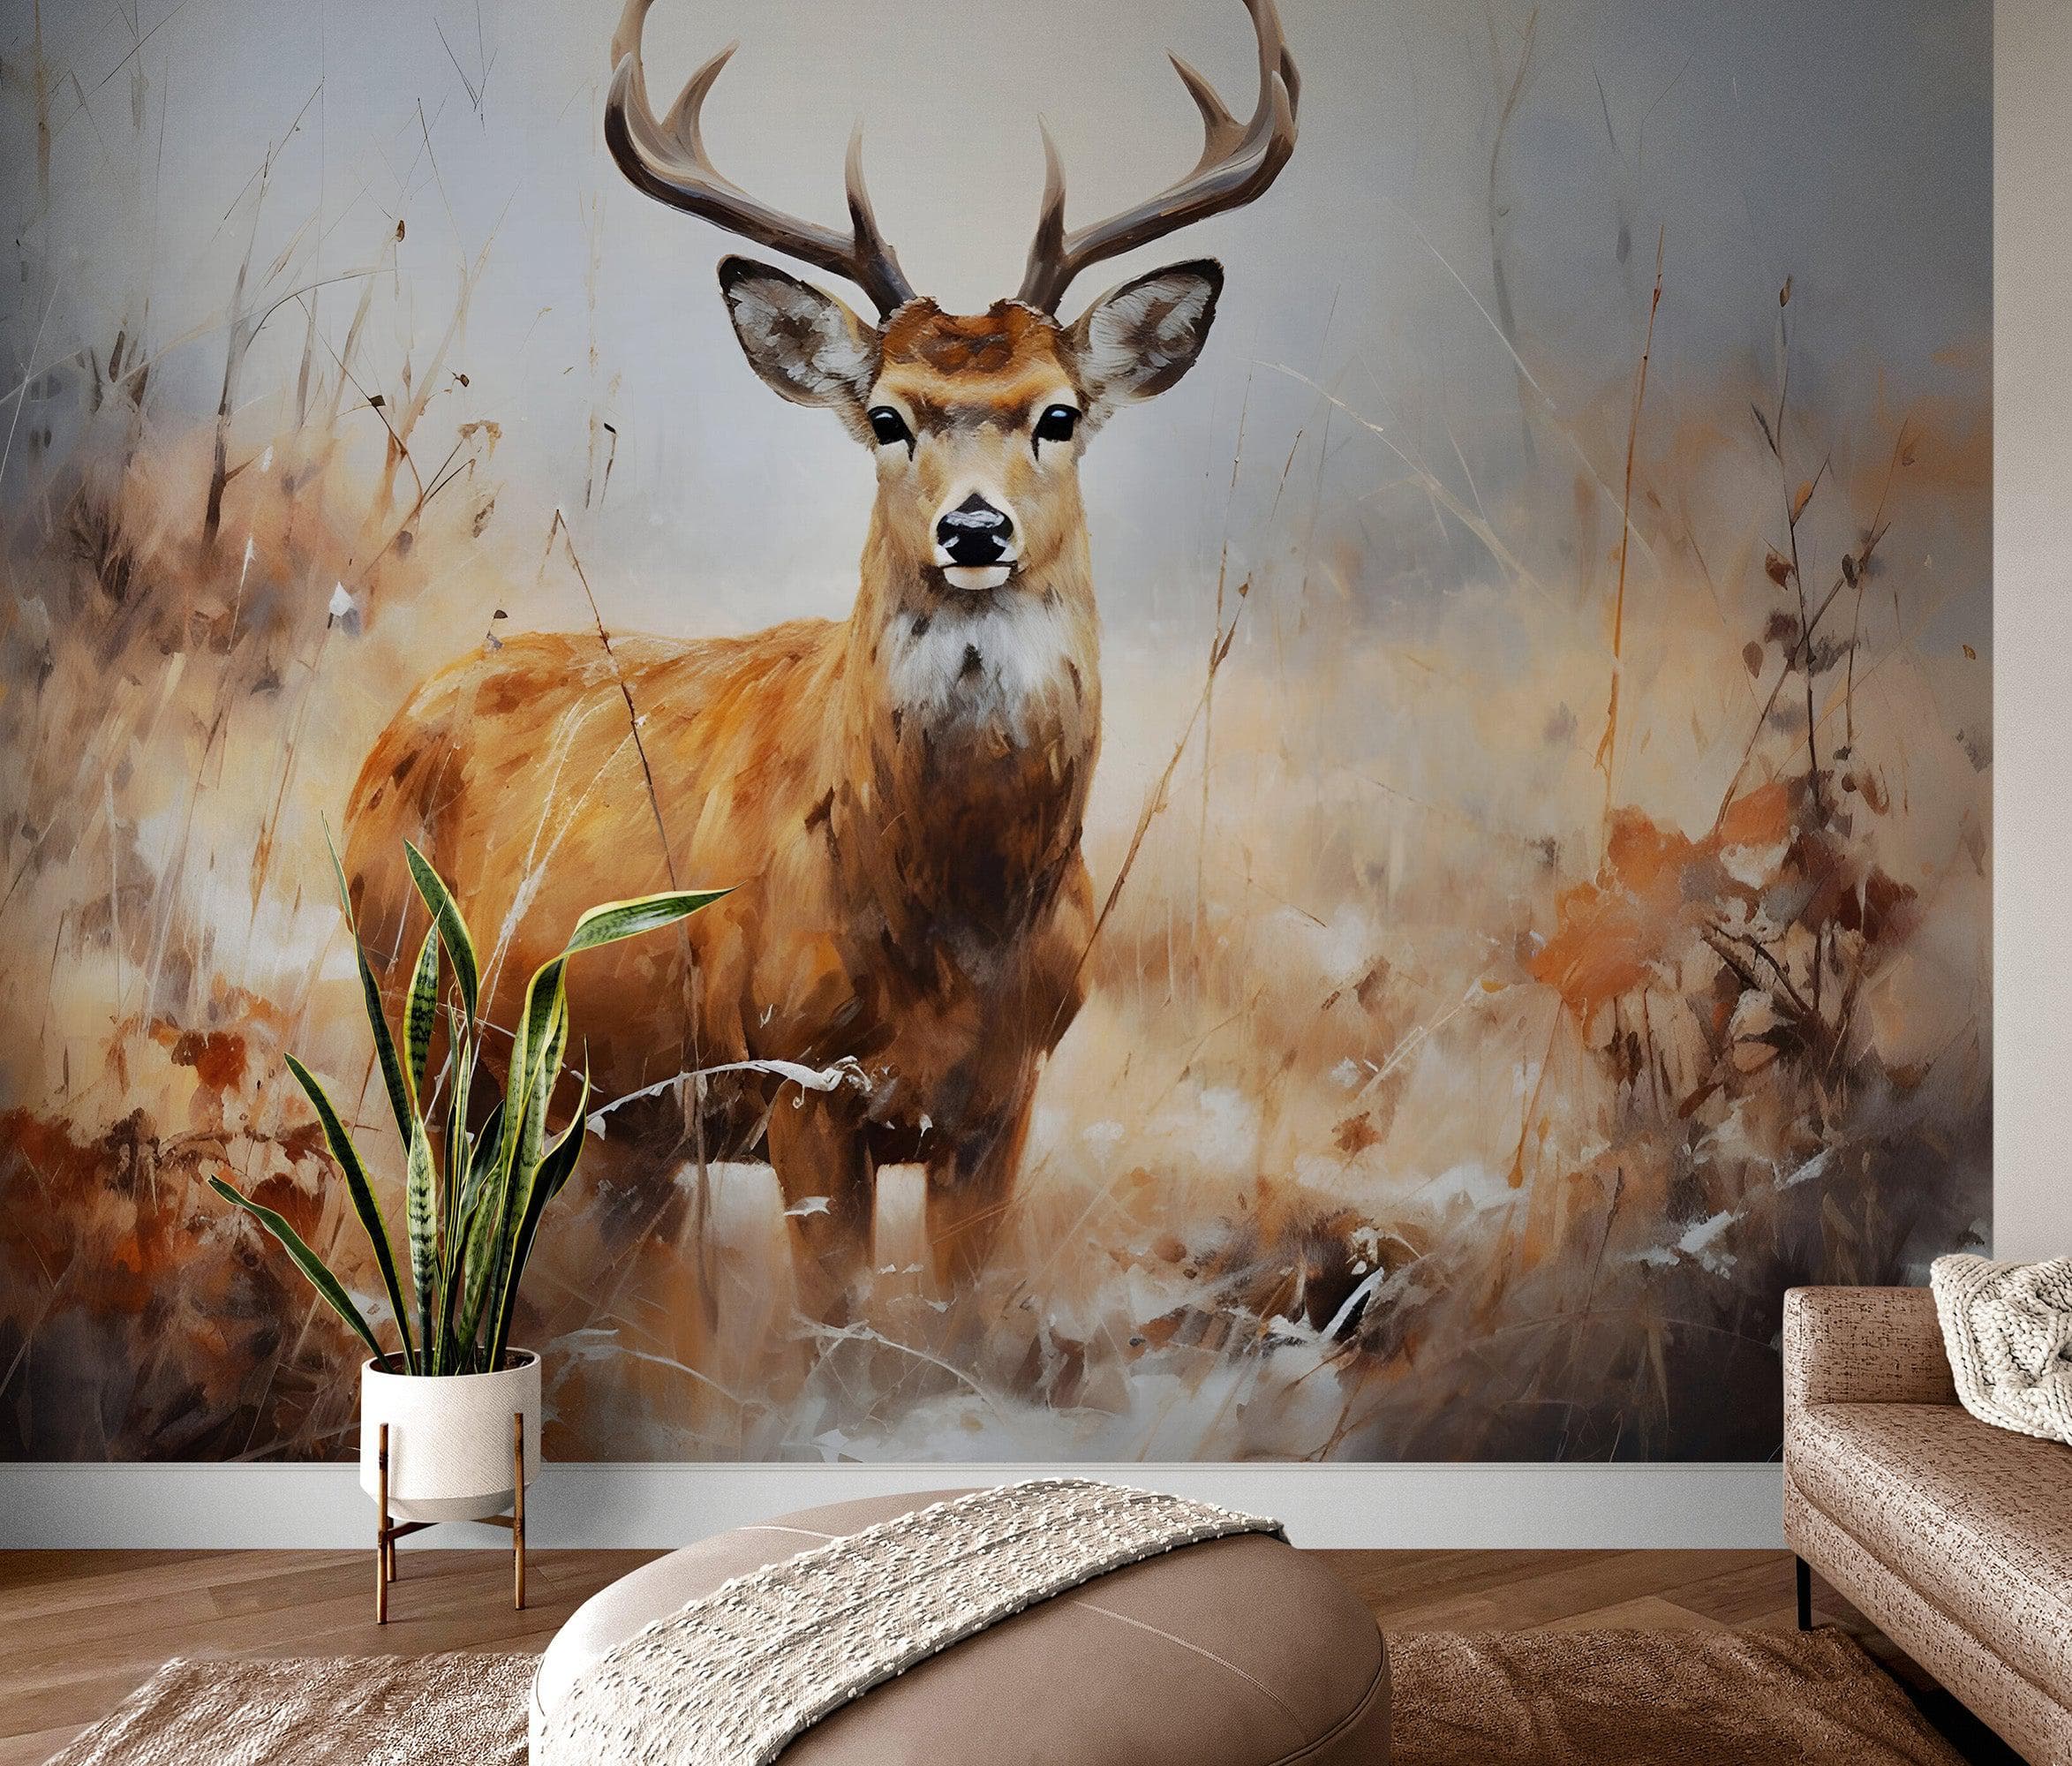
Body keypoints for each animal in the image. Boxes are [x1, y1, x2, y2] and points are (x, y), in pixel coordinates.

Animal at [343, 0, 1299, 1319]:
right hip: (421, 1022)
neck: (951, 925)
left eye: (1056, 415)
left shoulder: (1001, 1099)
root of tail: (388, 731)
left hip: (612, 1117)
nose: (972, 530)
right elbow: (831, 1324)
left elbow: (967, 1317)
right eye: (887, 417)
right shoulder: (799, 1078)